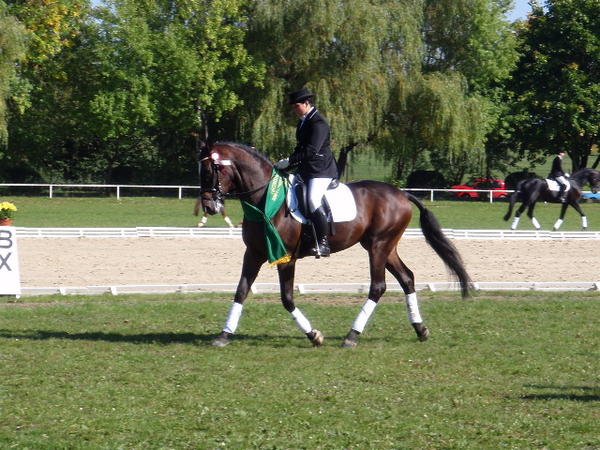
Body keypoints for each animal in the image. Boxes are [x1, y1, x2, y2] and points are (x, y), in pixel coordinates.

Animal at [199, 142, 472, 346]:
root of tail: (401, 193)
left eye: (212, 169)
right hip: (386, 247)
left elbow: (286, 298)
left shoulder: (286, 258)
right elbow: (241, 291)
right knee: (407, 279)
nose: (209, 206)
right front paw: (224, 334)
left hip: (378, 246)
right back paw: (420, 329)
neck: (264, 199)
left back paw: (352, 335)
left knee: (378, 286)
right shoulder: (253, 253)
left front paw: (314, 335)